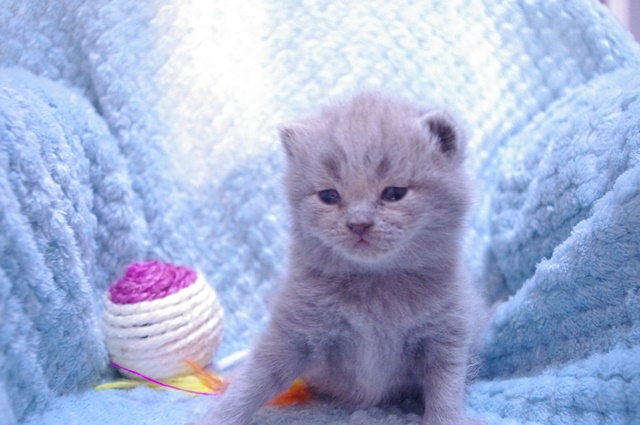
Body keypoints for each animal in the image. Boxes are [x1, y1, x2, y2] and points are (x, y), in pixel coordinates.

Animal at [198, 92, 487, 425]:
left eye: (394, 193)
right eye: (329, 196)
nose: (358, 223)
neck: (375, 287)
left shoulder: (446, 335)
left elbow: (445, 389)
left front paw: (446, 419)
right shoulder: (293, 332)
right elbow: (255, 379)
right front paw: (220, 415)